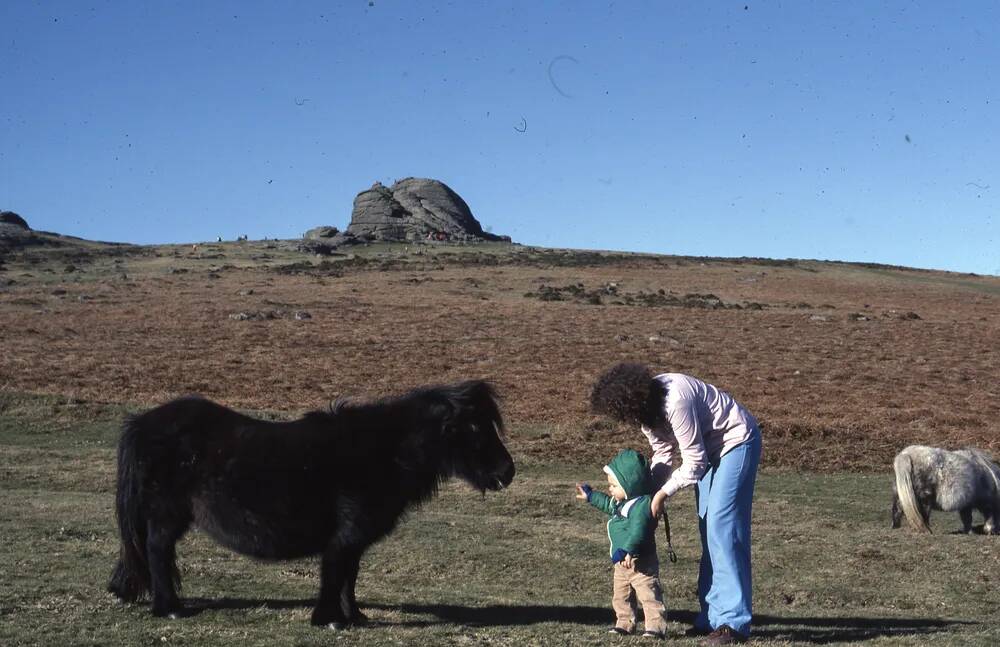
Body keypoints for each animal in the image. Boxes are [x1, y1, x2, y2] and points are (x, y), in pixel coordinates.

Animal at [108, 380, 516, 628]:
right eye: (474, 428)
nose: (507, 472)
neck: (383, 451)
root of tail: (141, 423)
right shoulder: (347, 534)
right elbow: (335, 572)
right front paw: (330, 619)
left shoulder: (354, 539)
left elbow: (350, 575)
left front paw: (355, 616)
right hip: (166, 516)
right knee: (157, 550)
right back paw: (171, 609)